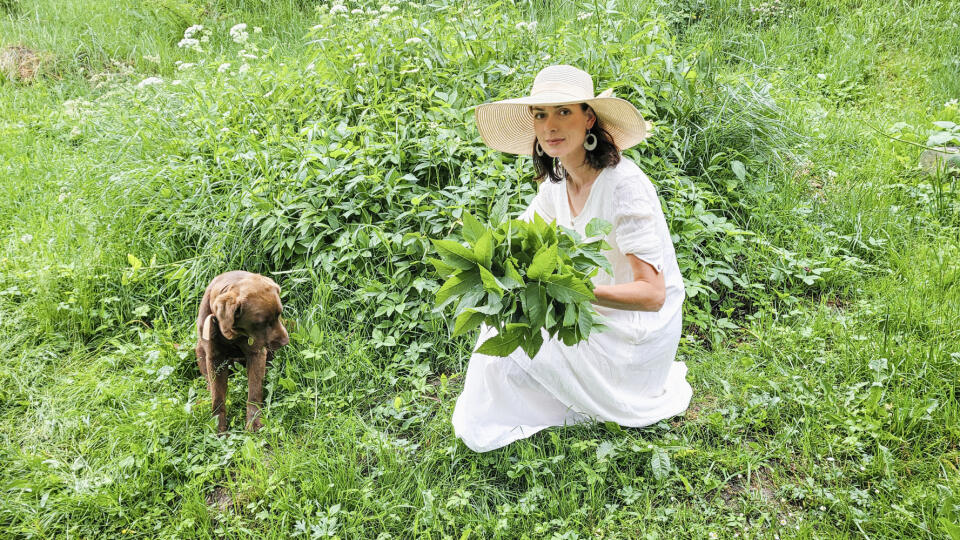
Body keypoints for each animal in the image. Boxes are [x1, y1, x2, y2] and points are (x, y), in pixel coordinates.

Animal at [193, 272, 286, 432]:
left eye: (279, 314)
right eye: (261, 323)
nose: (285, 342)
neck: (231, 334)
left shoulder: (256, 353)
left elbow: (254, 392)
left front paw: (254, 423)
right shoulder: (214, 358)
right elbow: (217, 397)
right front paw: (218, 429)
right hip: (199, 350)